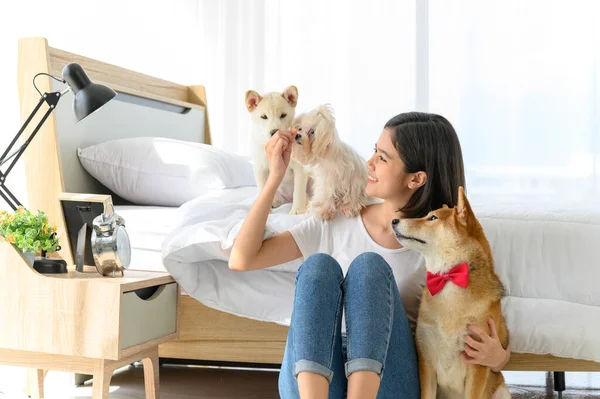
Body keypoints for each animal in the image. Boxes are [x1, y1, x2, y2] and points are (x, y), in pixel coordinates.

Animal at [244, 86, 310, 214]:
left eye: (283, 115)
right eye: (264, 117)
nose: (274, 132)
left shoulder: (299, 169)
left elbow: (298, 191)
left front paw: (297, 210)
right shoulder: (260, 169)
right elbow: (262, 189)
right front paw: (265, 210)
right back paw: (274, 202)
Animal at [394, 188, 510, 399]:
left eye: (432, 217)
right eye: (427, 214)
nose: (394, 220)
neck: (449, 280)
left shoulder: (477, 363)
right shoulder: (426, 362)